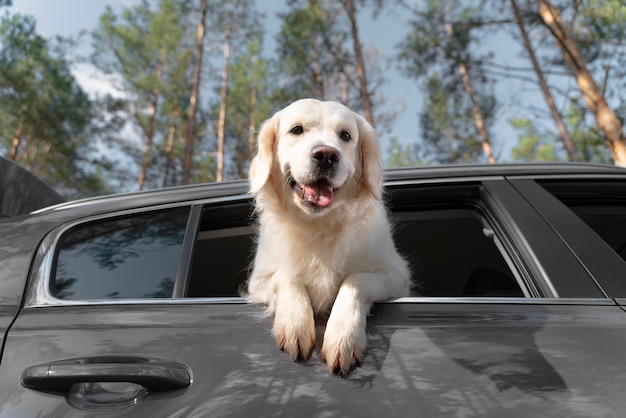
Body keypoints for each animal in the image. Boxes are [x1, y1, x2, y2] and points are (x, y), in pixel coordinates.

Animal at [244, 99, 410, 376]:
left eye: (345, 135)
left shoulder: (397, 275)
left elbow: (356, 280)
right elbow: (286, 275)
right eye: (296, 130)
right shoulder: (258, 281)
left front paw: (343, 336)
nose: (326, 155)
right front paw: (295, 322)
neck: (320, 226)